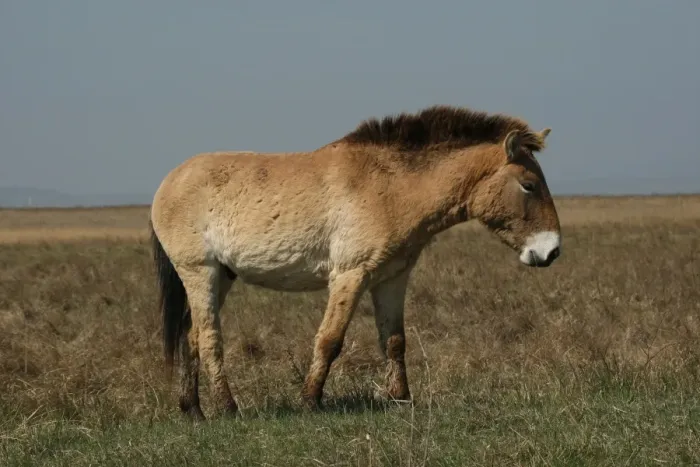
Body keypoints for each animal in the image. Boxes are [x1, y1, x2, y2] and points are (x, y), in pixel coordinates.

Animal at [149, 104, 562, 420]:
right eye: (528, 185)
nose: (552, 251)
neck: (391, 186)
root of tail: (168, 182)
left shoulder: (391, 278)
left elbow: (394, 341)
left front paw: (400, 400)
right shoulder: (351, 274)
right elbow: (329, 340)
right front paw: (310, 402)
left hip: (223, 274)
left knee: (190, 336)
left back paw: (194, 411)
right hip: (199, 272)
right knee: (208, 337)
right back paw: (227, 408)